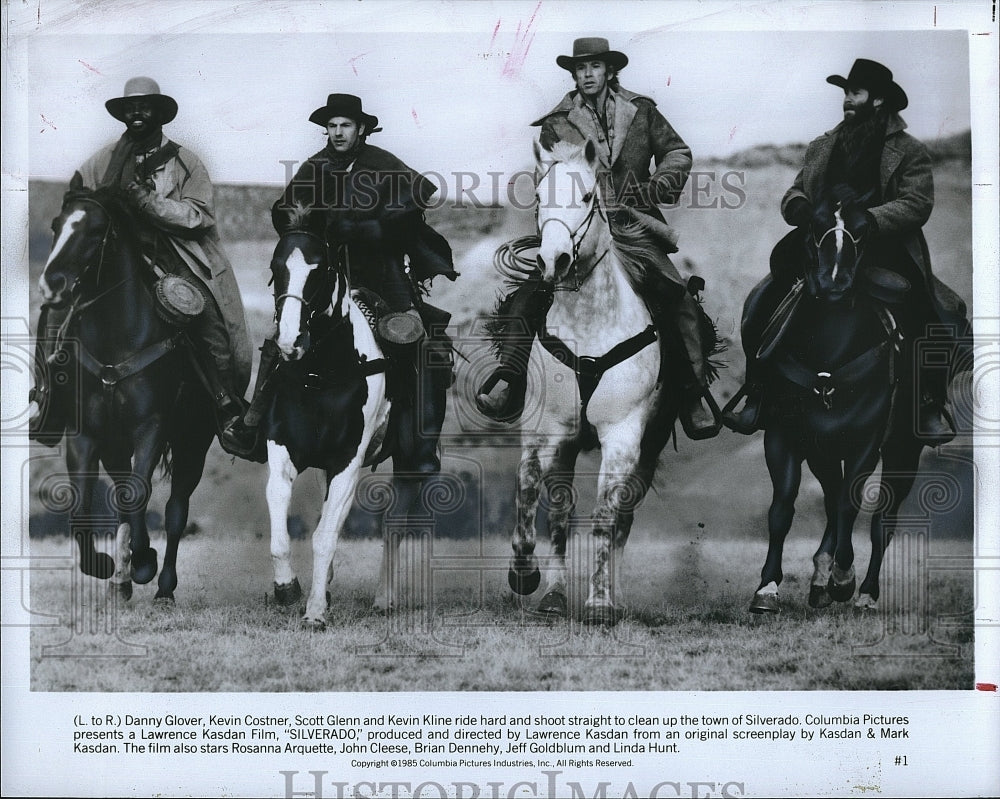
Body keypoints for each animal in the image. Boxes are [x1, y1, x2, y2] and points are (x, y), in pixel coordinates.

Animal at [38, 175, 216, 600]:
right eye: (56, 225)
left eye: (95, 231)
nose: (52, 284)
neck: (115, 340)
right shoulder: (85, 435)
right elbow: (84, 501)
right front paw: (104, 565)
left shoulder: (150, 426)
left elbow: (140, 493)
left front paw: (145, 562)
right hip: (116, 447)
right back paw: (121, 577)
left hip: (192, 444)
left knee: (175, 510)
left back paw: (163, 586)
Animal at [504, 141, 684, 628]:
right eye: (538, 198)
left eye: (587, 197)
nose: (553, 261)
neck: (589, 325)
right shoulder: (546, 430)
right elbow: (528, 494)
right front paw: (524, 574)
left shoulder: (622, 435)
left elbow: (605, 518)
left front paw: (600, 603)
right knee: (560, 513)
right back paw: (553, 595)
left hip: (647, 451)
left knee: (622, 519)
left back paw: (614, 599)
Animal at [748, 192, 924, 612]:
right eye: (815, 226)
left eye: (863, 231)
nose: (834, 283)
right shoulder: (784, 435)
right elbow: (783, 507)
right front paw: (767, 587)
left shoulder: (866, 442)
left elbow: (850, 505)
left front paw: (844, 579)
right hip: (823, 449)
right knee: (831, 498)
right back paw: (819, 577)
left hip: (902, 451)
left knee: (881, 521)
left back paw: (866, 592)